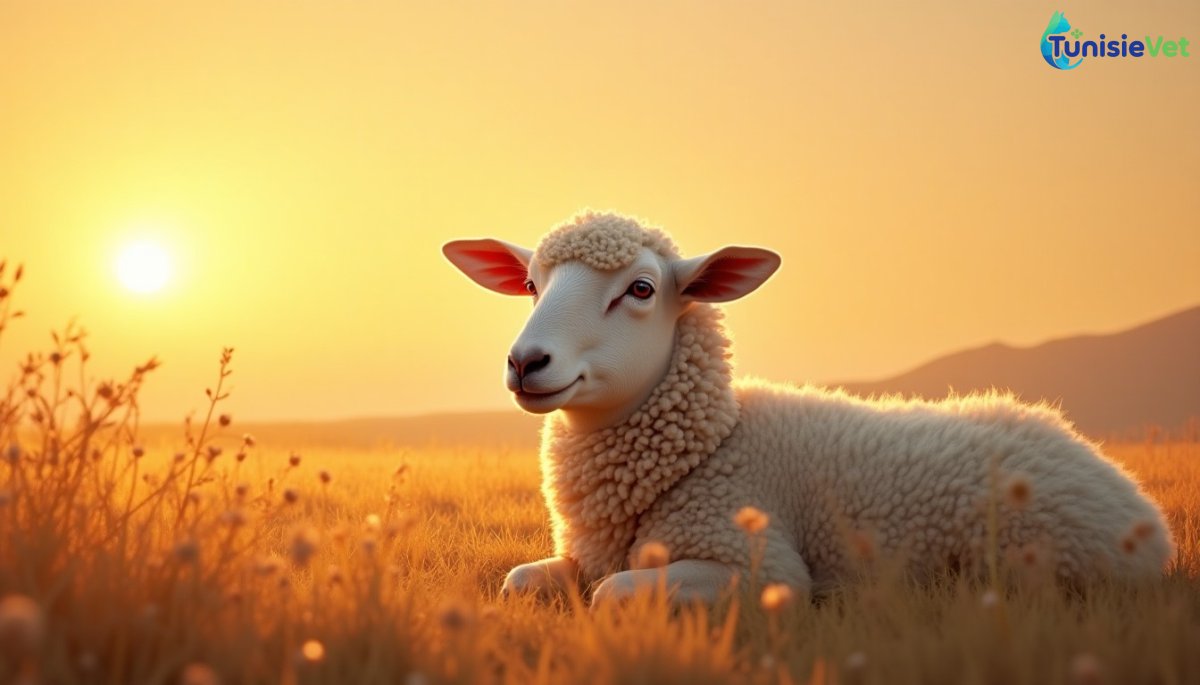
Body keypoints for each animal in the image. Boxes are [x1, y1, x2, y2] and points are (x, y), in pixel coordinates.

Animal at [442, 211, 1175, 604]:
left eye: (641, 288)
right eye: (530, 284)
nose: (526, 361)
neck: (711, 445)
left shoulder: (761, 567)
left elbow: (611, 592)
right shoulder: (583, 556)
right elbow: (517, 580)